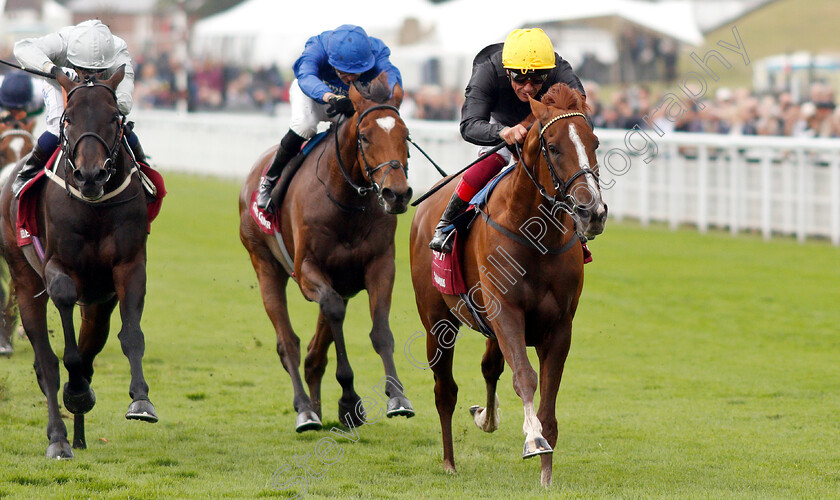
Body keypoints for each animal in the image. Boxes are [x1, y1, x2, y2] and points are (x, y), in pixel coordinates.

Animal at [0, 67, 158, 460]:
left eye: (114, 118)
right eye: (68, 120)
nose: (90, 175)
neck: (94, 208)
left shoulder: (128, 266)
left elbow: (130, 335)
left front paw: (140, 400)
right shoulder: (56, 266)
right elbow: (65, 322)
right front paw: (74, 389)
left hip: (98, 302)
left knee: (91, 344)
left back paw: (80, 431)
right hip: (24, 275)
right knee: (46, 363)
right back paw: (59, 437)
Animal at [238, 73, 416, 430]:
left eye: (405, 135)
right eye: (364, 137)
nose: (397, 194)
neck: (345, 202)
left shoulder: (379, 265)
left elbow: (381, 331)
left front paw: (397, 397)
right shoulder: (308, 270)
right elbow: (332, 310)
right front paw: (349, 398)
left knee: (313, 353)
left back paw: (318, 407)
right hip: (264, 264)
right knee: (288, 343)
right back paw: (306, 410)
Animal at [410, 84, 608, 486]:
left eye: (594, 141)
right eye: (553, 146)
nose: (592, 212)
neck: (537, 237)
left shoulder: (559, 327)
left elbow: (548, 401)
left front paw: (547, 476)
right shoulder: (507, 314)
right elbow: (525, 377)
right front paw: (532, 439)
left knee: (489, 368)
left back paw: (486, 417)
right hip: (437, 321)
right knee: (444, 390)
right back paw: (449, 461)